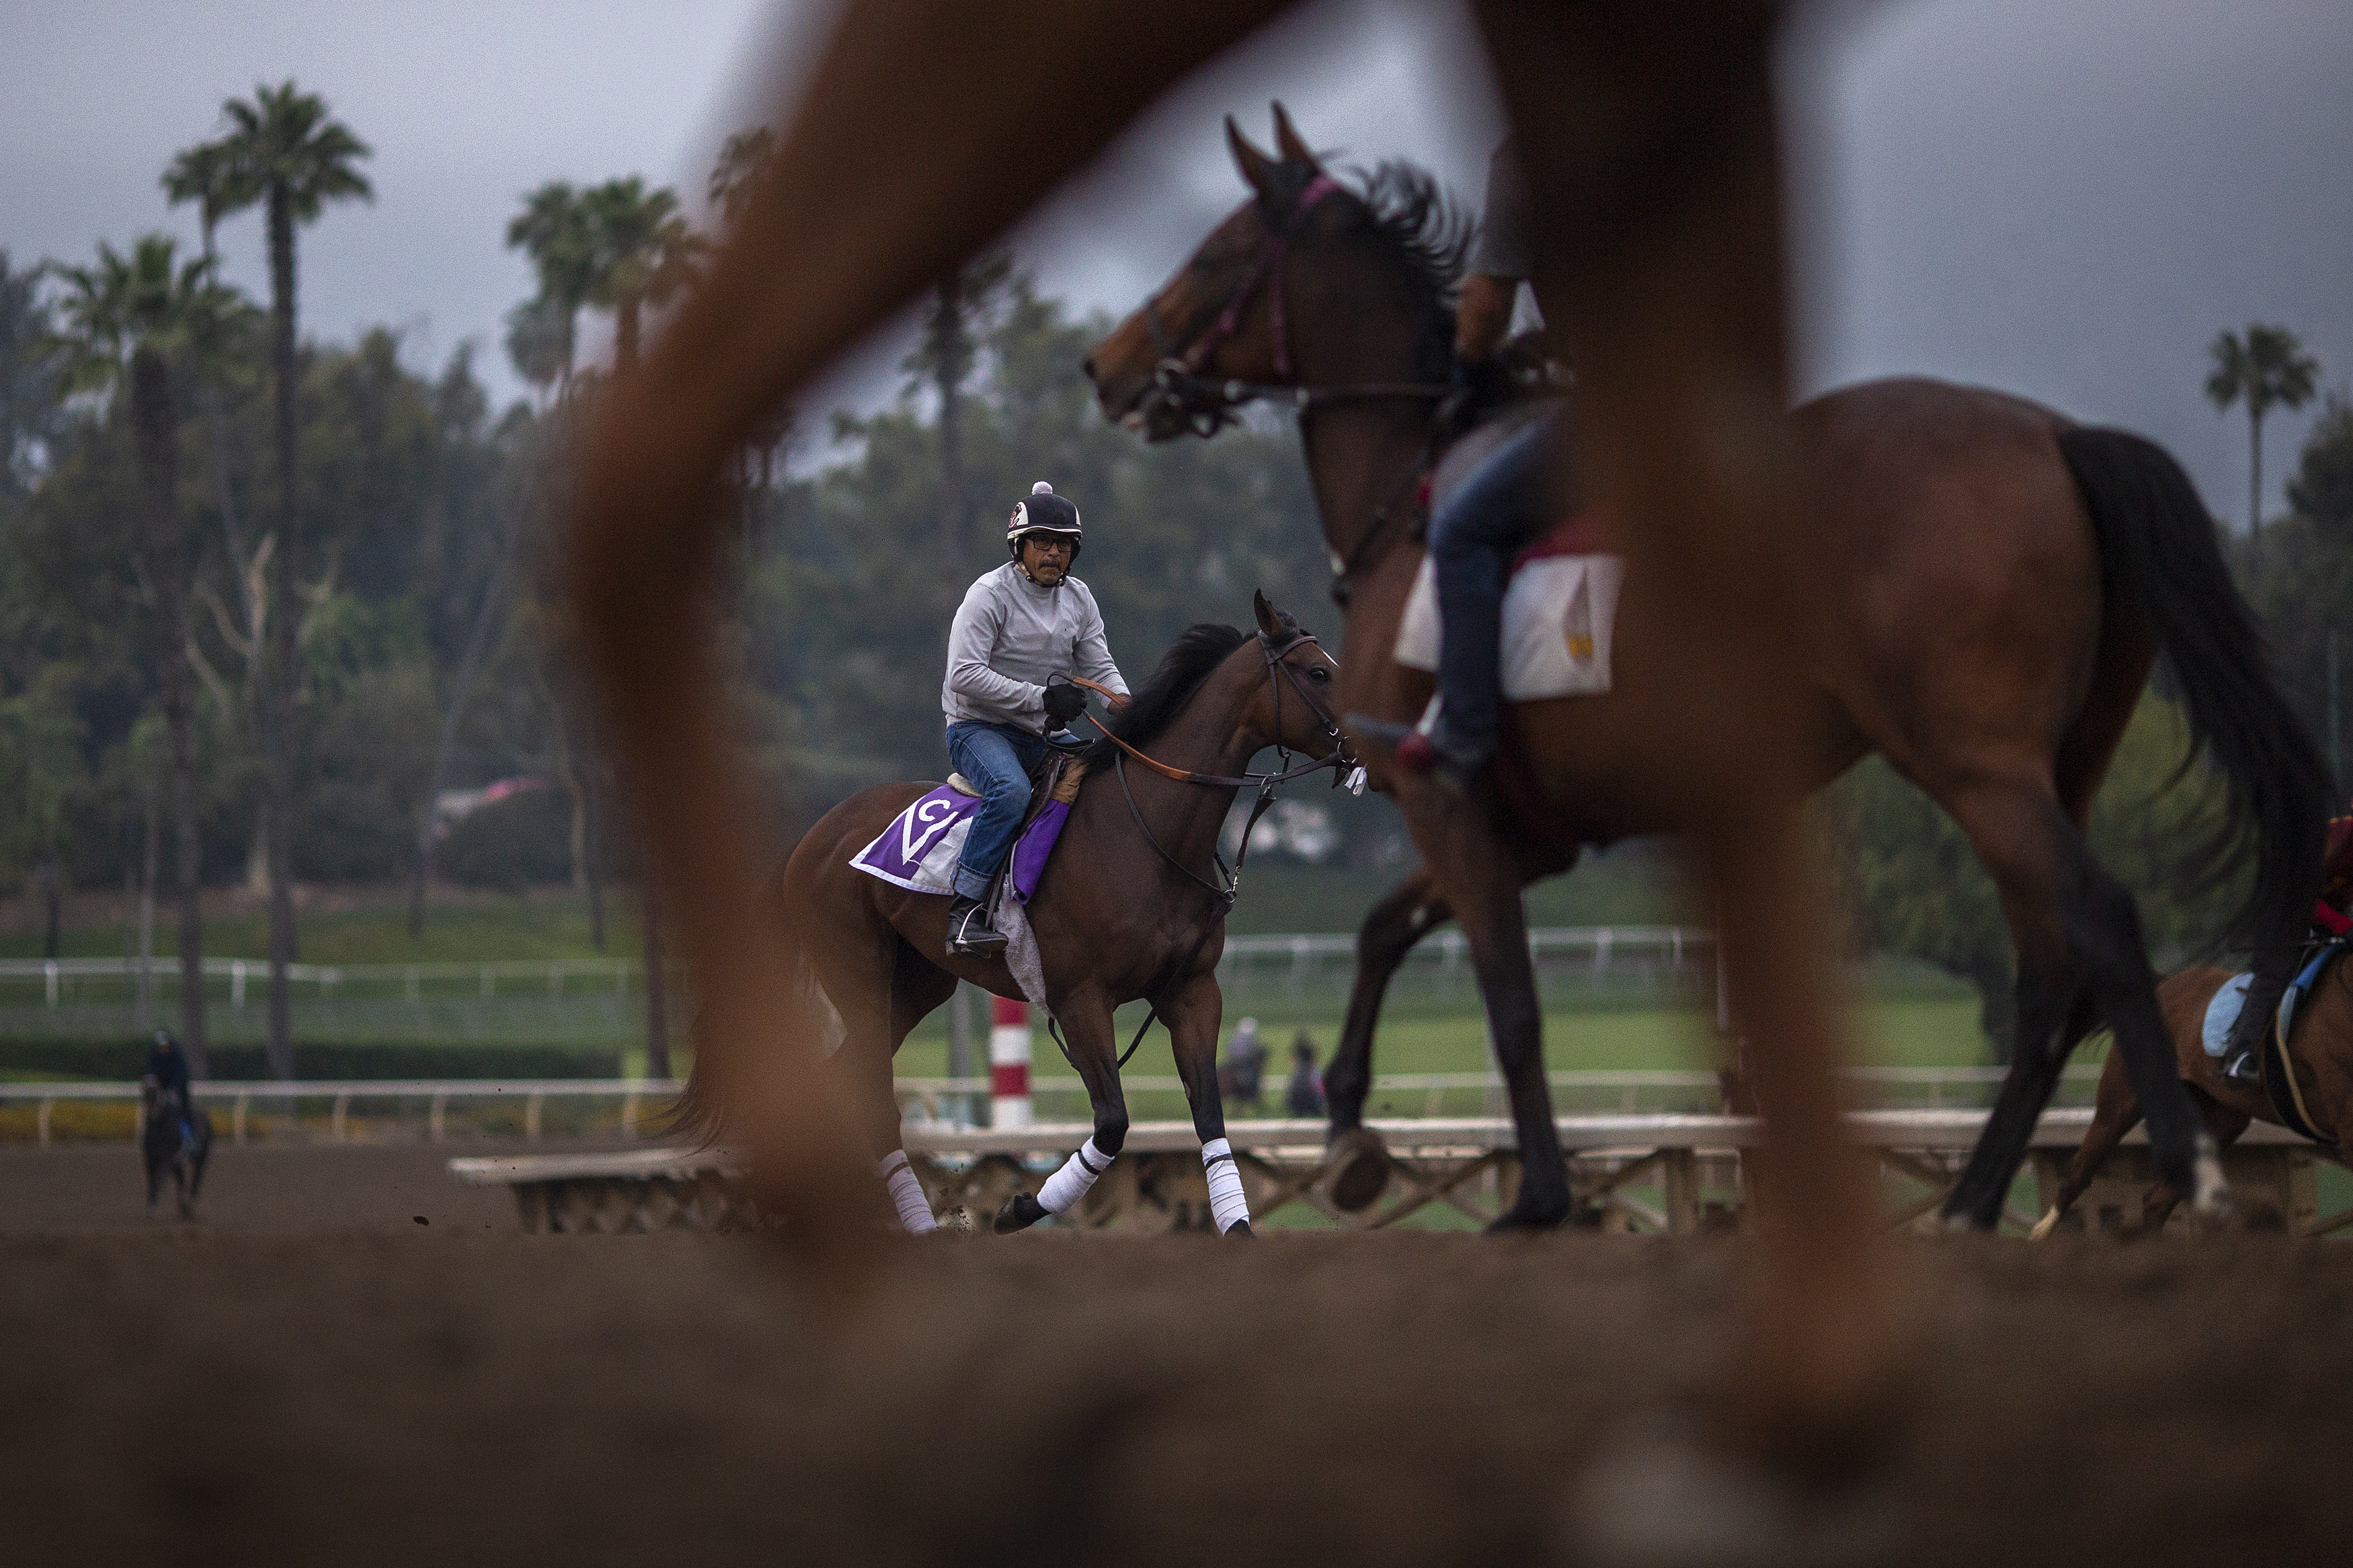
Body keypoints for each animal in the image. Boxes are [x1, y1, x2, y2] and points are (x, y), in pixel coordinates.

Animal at [682, 592, 1346, 1241]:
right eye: (1318, 672)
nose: (1360, 743)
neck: (1147, 834)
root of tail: (810, 838)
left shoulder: (1192, 990)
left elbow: (1209, 1114)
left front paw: (1238, 1228)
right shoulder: (1081, 997)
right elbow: (1112, 1122)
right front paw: (1020, 1208)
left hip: (918, 983)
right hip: (857, 973)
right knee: (869, 1097)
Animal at [2033, 959, 2344, 1241]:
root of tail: (2165, 983)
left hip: (2221, 1120)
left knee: (2156, 1200)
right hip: (2119, 1105)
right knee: (2078, 1175)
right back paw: (2040, 1235)